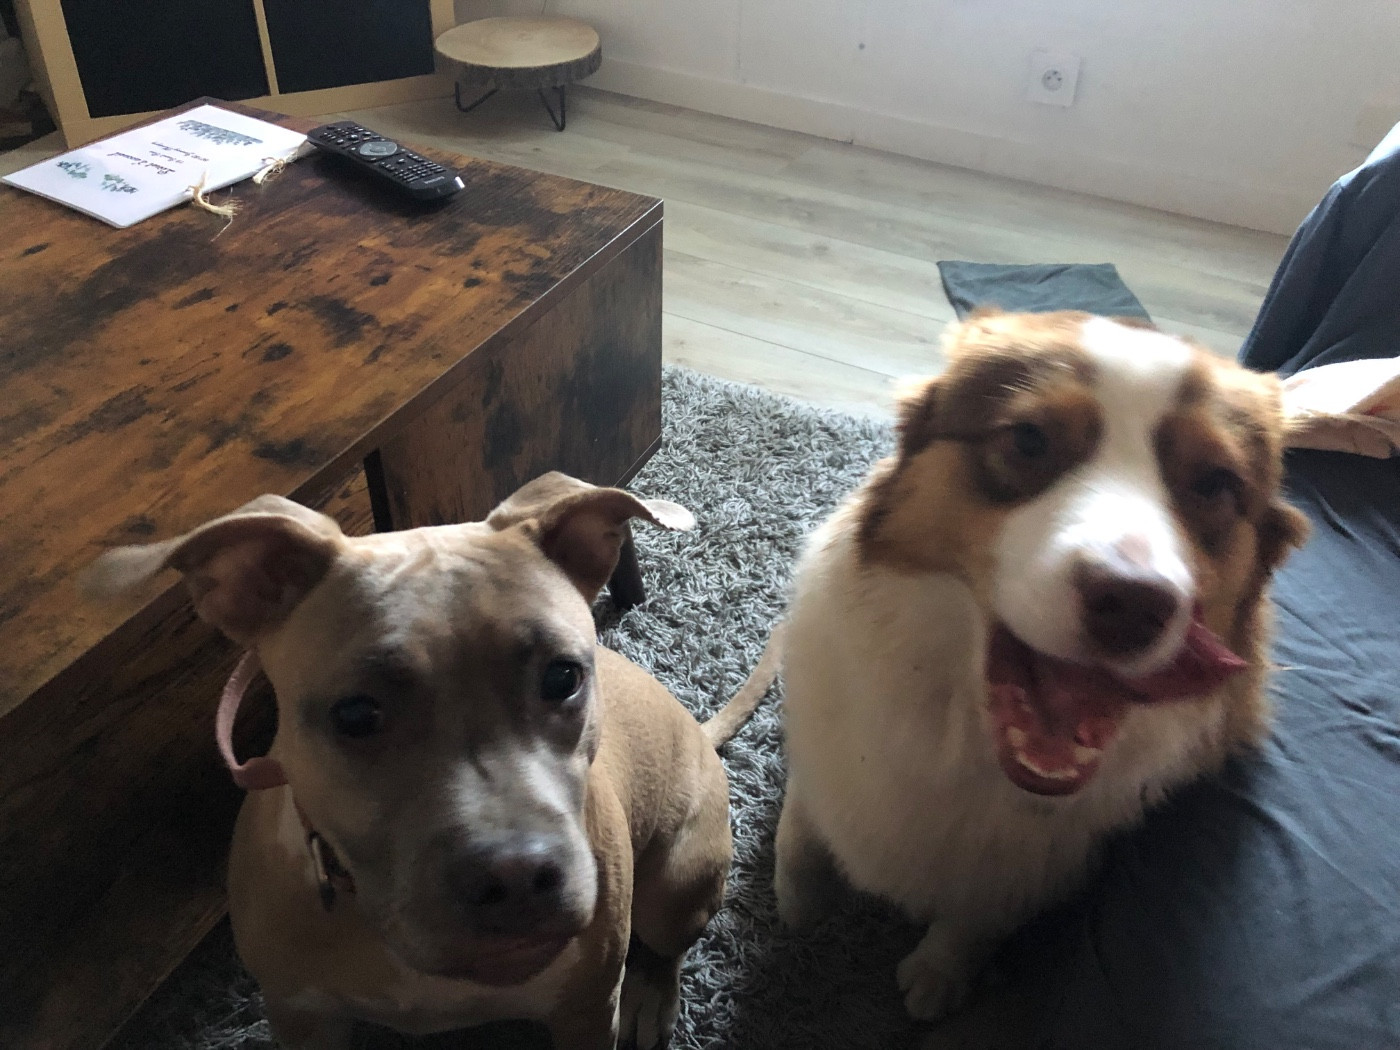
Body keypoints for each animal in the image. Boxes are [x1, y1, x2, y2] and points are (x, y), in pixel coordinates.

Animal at [87, 472, 775, 1050]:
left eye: (563, 677)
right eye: (355, 715)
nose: (517, 877)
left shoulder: (584, 1010)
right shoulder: (300, 1015)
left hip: (678, 883)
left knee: (668, 946)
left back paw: (651, 993)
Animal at [773, 310, 1308, 1021]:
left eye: (1215, 483)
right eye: (1028, 440)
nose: (1132, 603)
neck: (958, 737)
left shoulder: (1042, 861)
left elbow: (977, 915)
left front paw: (940, 971)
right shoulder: (821, 755)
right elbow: (800, 836)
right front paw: (795, 905)